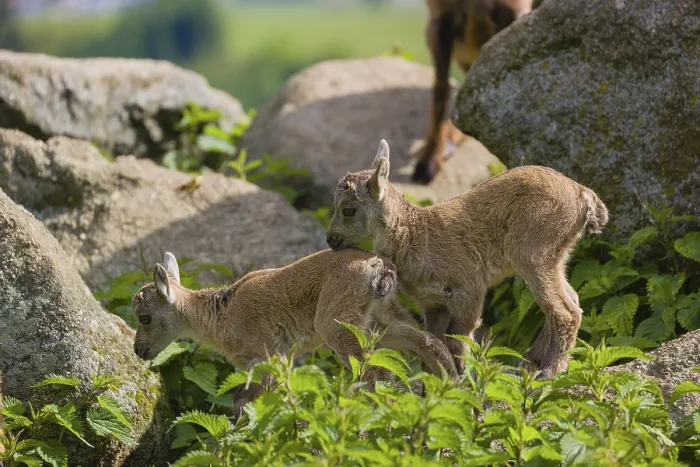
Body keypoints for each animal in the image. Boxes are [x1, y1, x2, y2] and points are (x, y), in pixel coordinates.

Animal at [132, 249, 458, 416]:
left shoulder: (265, 356)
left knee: (375, 371)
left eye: (144, 317)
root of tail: (379, 267)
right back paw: (452, 389)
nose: (138, 350)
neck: (221, 316)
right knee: (427, 342)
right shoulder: (281, 359)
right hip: (382, 318)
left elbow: (244, 400)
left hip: (337, 323)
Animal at [327, 139, 608, 378]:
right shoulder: (433, 305)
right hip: (556, 257)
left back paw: (549, 371)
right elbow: (435, 347)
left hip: (533, 251)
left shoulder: (468, 288)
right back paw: (532, 362)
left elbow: (458, 339)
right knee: (573, 301)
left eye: (348, 210)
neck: (418, 235)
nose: (330, 239)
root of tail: (582, 195)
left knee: (564, 311)